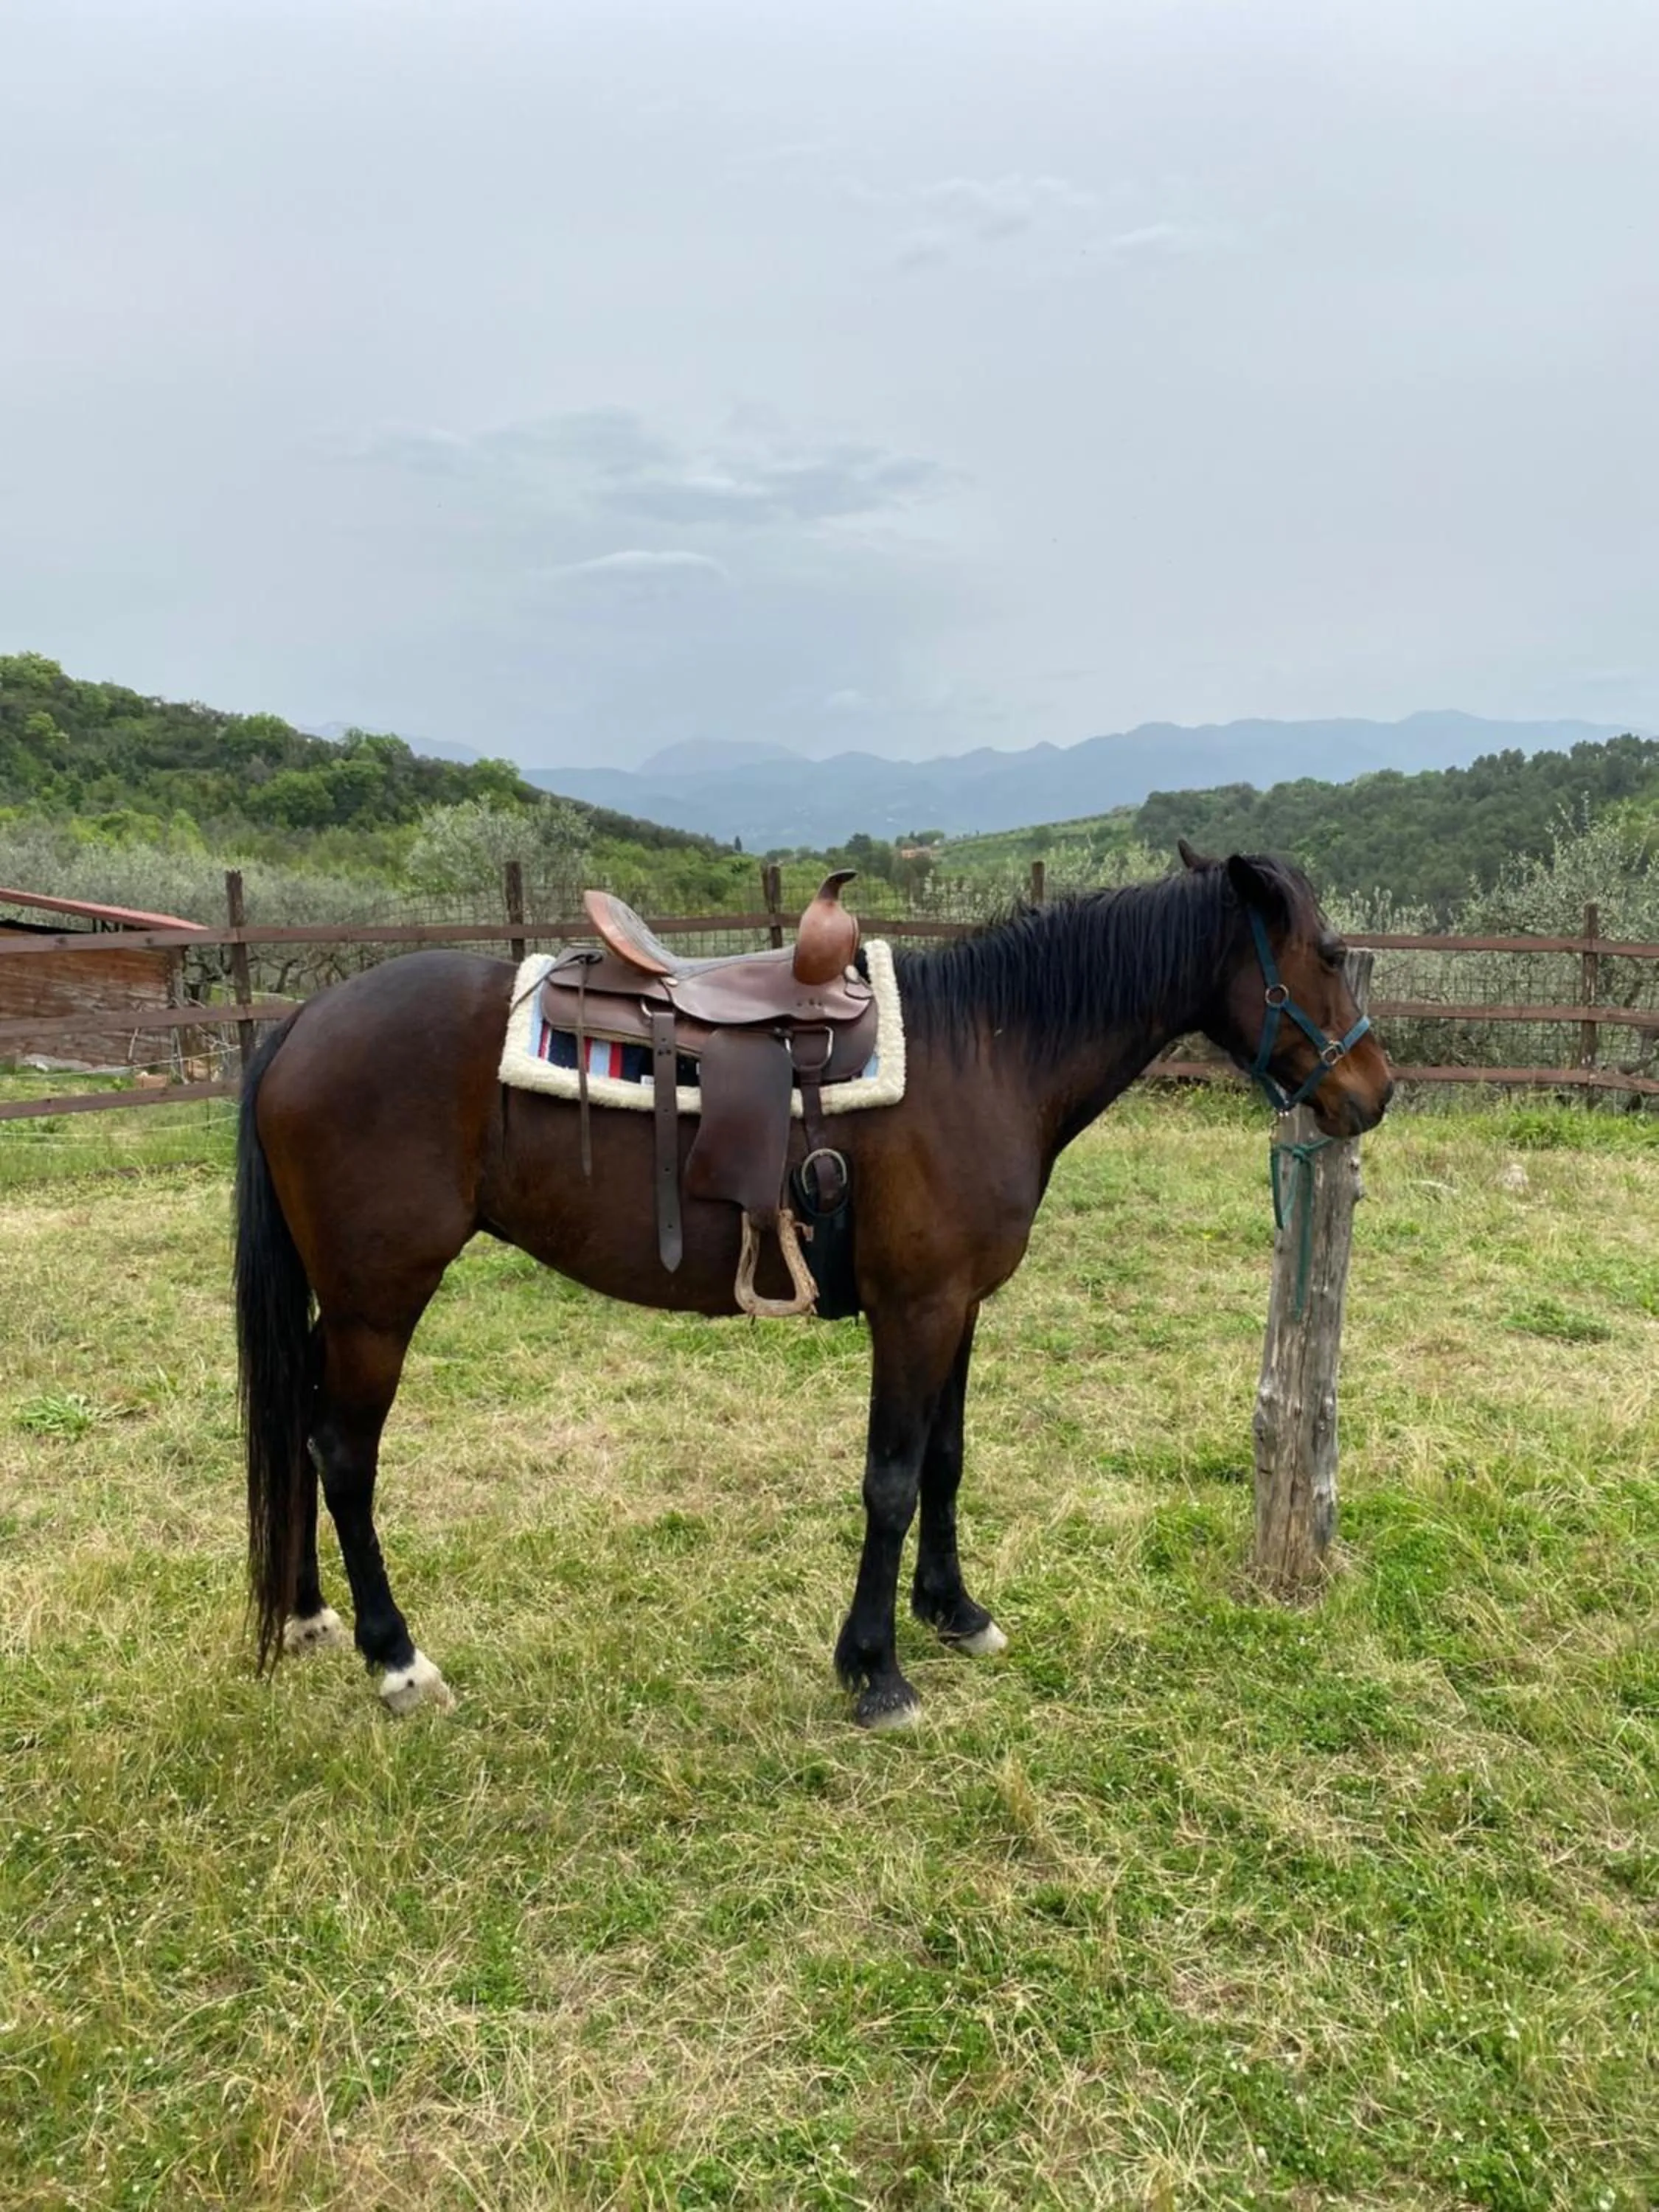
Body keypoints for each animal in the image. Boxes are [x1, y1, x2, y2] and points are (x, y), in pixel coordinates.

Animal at [235, 846, 1393, 1729]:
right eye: (1332, 954)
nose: (1373, 1092)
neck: (985, 1056)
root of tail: (301, 1023)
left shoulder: (958, 1307)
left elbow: (945, 1462)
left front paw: (955, 1612)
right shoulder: (914, 1312)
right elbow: (890, 1480)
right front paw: (875, 1671)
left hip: (340, 1306)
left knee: (295, 1425)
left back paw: (304, 1613)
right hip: (379, 1303)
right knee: (341, 1453)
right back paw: (396, 1660)